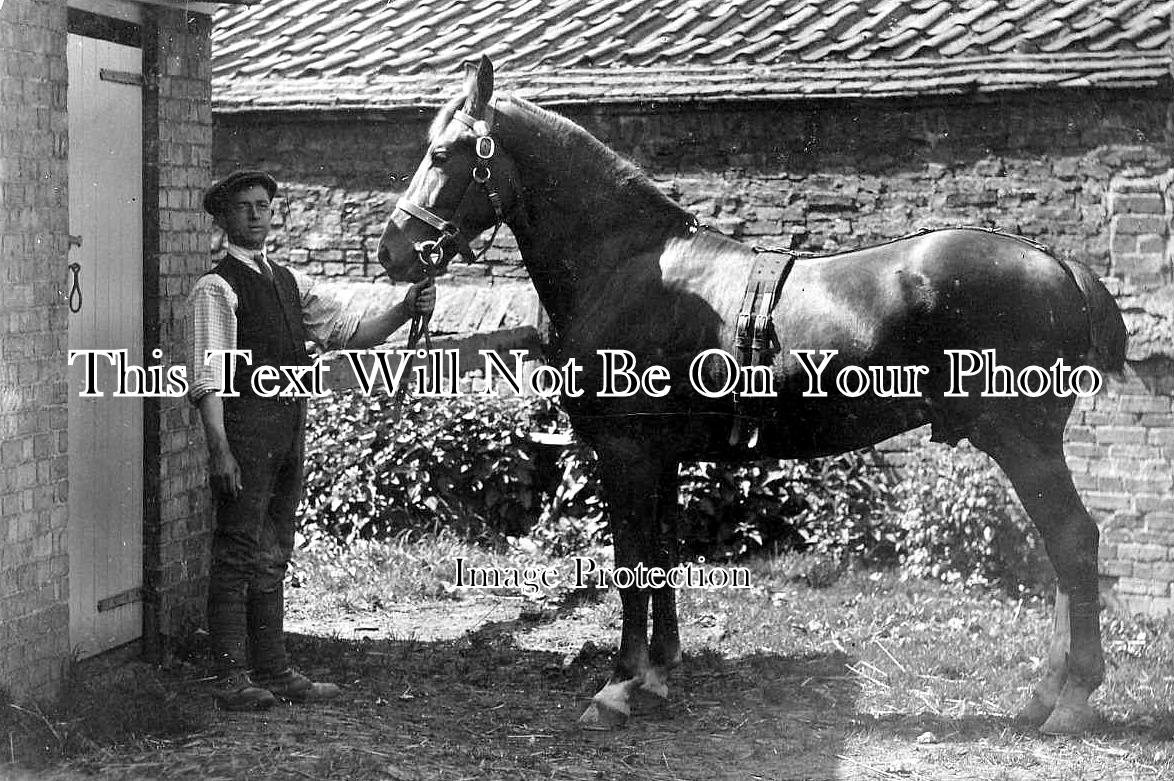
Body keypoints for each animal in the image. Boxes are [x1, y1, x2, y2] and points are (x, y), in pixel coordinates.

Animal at [375, 57, 1127, 732]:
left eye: (443, 153)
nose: (394, 251)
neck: (628, 268)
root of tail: (1058, 264)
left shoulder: (625, 454)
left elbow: (631, 564)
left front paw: (618, 687)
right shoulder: (662, 458)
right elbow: (662, 558)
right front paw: (659, 674)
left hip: (1024, 441)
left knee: (1072, 541)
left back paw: (1070, 701)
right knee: (1061, 552)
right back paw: (1043, 696)